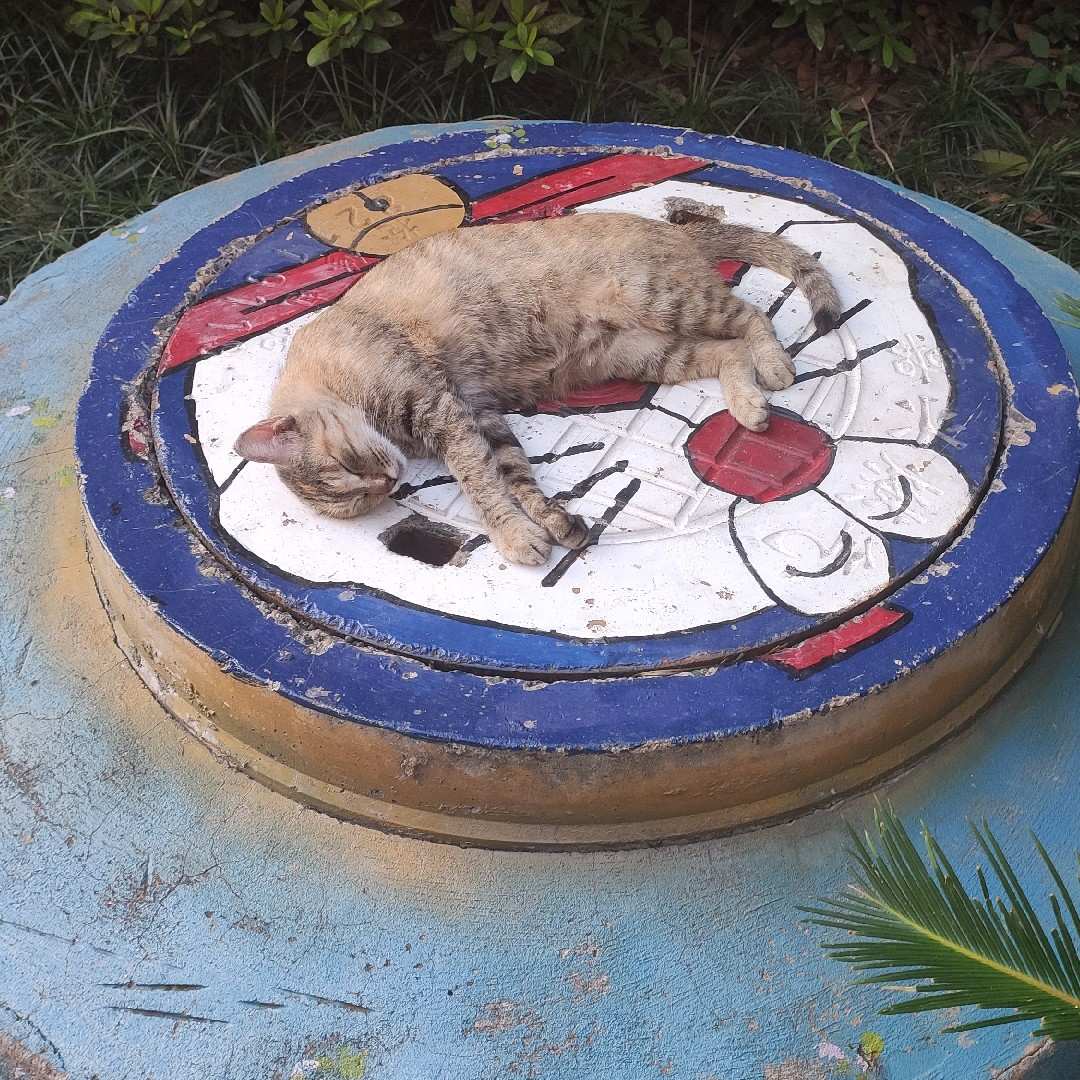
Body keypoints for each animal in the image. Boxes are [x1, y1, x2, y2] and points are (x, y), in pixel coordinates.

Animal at [233, 197, 841, 566]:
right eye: (361, 497)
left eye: (346, 464)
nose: (388, 482)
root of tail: (679, 233)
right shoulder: (480, 414)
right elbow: (518, 480)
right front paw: (552, 524)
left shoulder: (445, 412)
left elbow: (481, 489)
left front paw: (513, 535)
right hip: (643, 353)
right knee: (726, 352)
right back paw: (746, 405)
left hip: (667, 300)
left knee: (751, 319)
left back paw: (775, 368)